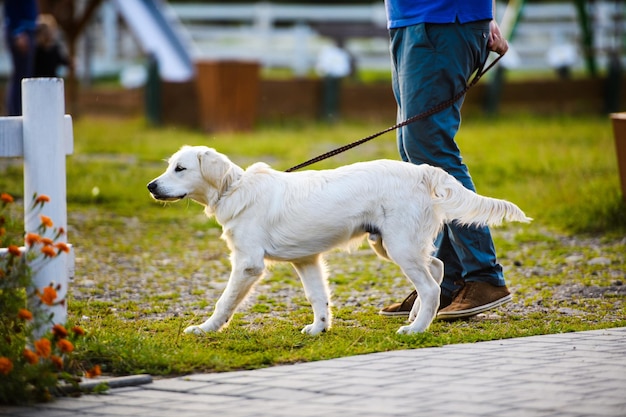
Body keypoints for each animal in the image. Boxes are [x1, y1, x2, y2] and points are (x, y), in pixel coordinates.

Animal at [147, 146, 532, 334]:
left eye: (180, 169)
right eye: (168, 166)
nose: (151, 186)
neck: (235, 189)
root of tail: (423, 171)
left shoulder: (247, 265)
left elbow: (224, 302)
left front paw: (204, 329)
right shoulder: (307, 260)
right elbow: (318, 298)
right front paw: (319, 329)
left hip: (400, 246)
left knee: (430, 286)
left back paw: (416, 329)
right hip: (391, 244)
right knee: (436, 269)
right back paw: (416, 316)